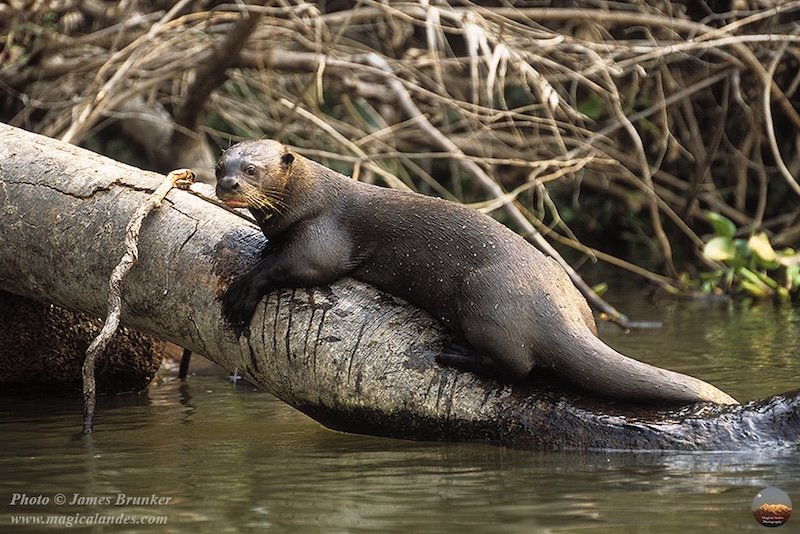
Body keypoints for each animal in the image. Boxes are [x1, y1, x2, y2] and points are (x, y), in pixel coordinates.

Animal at [215, 140, 738, 405]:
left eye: (253, 170)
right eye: (221, 163)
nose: (227, 184)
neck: (308, 195)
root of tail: (555, 307)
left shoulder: (323, 233)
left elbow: (302, 267)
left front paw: (243, 291)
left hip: (482, 295)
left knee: (519, 366)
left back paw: (455, 354)